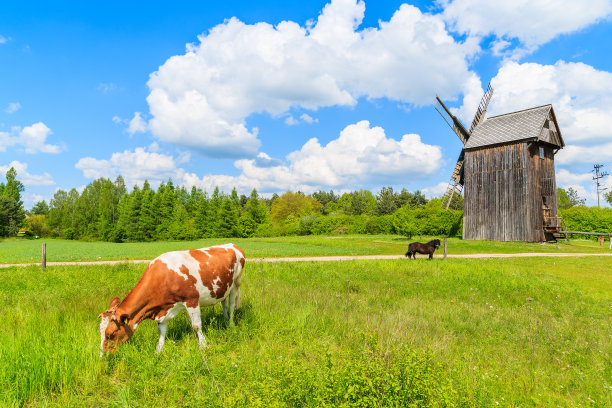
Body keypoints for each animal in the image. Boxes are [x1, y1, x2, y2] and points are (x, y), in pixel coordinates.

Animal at [99, 244, 245, 356]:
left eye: (111, 334)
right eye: (100, 331)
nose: (103, 356)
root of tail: (232, 245)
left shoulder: (192, 300)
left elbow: (197, 325)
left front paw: (203, 345)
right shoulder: (163, 309)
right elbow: (161, 330)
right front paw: (158, 350)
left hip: (236, 283)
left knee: (231, 305)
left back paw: (231, 324)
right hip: (223, 288)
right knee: (224, 303)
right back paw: (225, 320)